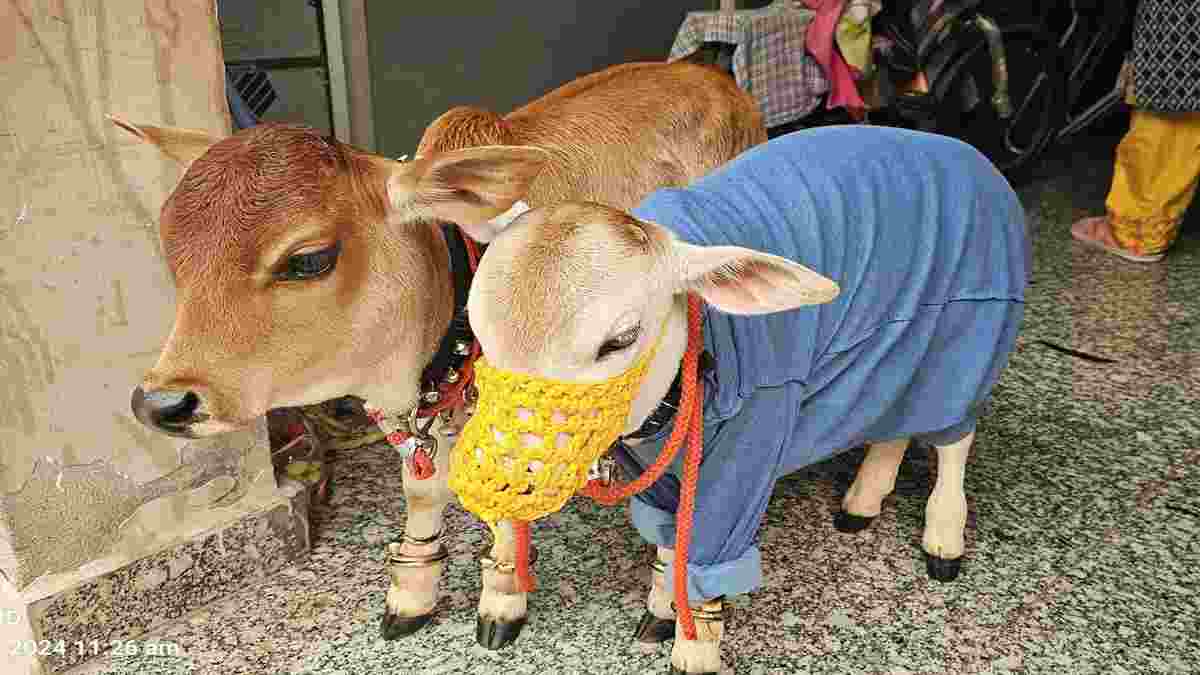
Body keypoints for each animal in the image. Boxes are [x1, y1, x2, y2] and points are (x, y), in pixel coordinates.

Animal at [114, 59, 766, 651]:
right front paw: (412, 594)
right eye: (171, 250)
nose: (162, 402)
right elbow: (422, 491)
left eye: (308, 259)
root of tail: (711, 73)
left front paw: (501, 599)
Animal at [450, 125, 1030, 673]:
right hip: (897, 348)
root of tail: (967, 153)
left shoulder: (748, 449)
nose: (502, 478)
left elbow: (708, 558)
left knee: (953, 438)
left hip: (970, 334)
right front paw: (661, 606)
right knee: (894, 419)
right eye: (476, 328)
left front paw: (694, 648)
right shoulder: (657, 470)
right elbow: (671, 540)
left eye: (620, 339)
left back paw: (943, 538)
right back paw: (863, 501)